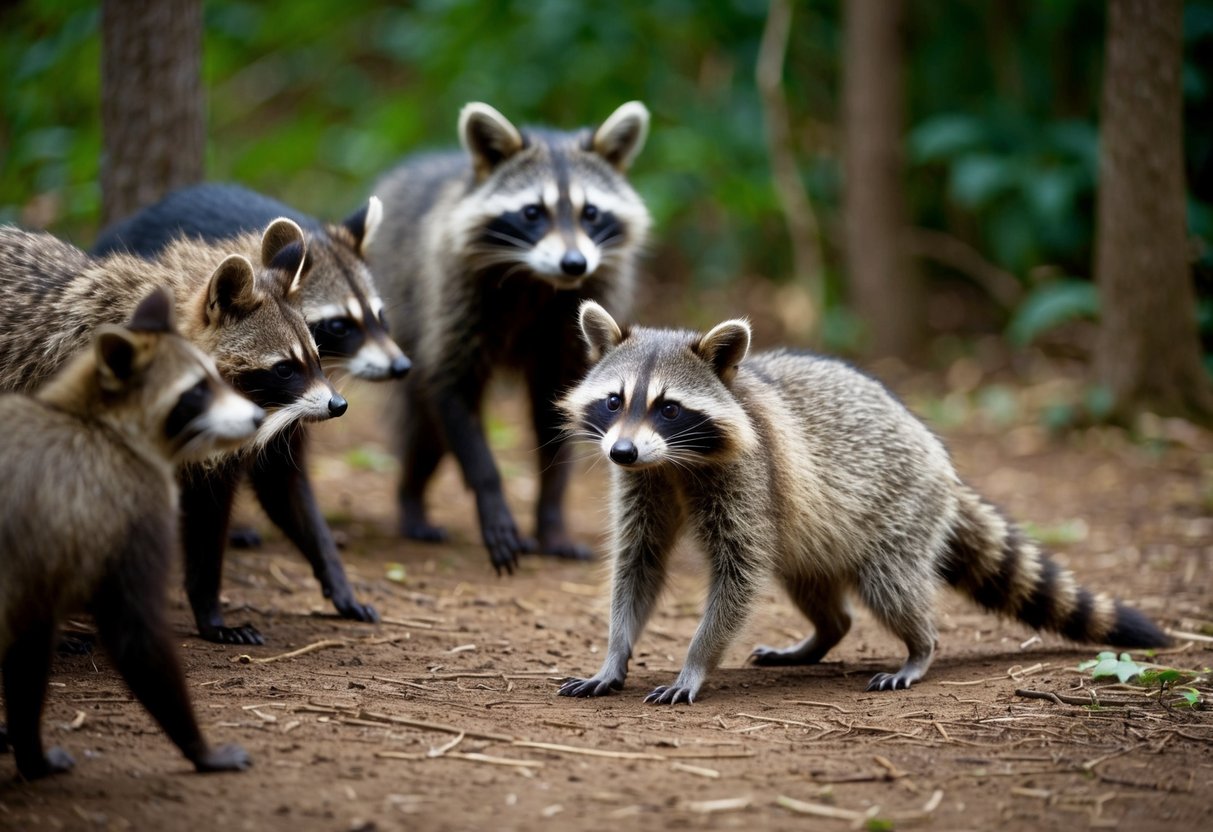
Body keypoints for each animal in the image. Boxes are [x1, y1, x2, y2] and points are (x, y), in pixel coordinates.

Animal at [0, 288, 259, 780]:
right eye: (195, 392)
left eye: (216, 377)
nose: (257, 417)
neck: (95, 417)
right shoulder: (132, 507)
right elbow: (136, 635)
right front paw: (199, 748)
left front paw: (27, 748)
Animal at [92, 183, 409, 624]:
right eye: (340, 325)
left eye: (380, 316)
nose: (400, 366)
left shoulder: (294, 403)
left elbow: (282, 481)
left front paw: (332, 570)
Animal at [367, 101, 651, 573]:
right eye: (532, 212)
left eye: (591, 213)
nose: (574, 263)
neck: (539, 280)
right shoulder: (454, 292)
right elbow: (451, 385)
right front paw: (492, 500)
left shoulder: (576, 318)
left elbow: (559, 426)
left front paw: (551, 517)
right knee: (426, 431)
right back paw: (411, 498)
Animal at [557, 303, 1169, 704]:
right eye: (614, 401)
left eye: (668, 408)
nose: (621, 451)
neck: (671, 462)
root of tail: (941, 460)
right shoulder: (644, 482)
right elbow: (639, 562)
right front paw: (614, 653)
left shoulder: (750, 476)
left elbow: (740, 574)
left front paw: (695, 663)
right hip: (817, 534)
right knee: (812, 585)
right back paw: (825, 633)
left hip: (902, 509)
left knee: (890, 586)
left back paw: (920, 648)